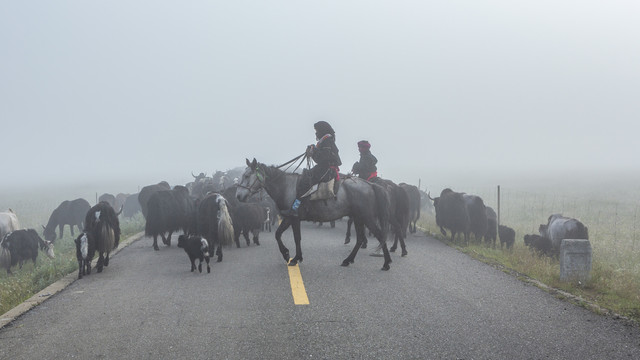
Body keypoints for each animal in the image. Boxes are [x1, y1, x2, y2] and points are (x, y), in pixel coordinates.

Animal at [238, 158, 392, 270]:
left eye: (247, 175)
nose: (238, 196)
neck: (286, 186)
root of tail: (370, 185)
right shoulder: (289, 218)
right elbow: (278, 234)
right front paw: (287, 254)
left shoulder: (294, 218)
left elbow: (296, 238)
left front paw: (294, 258)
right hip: (358, 218)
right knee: (360, 239)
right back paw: (348, 260)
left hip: (367, 217)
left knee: (380, 235)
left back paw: (386, 263)